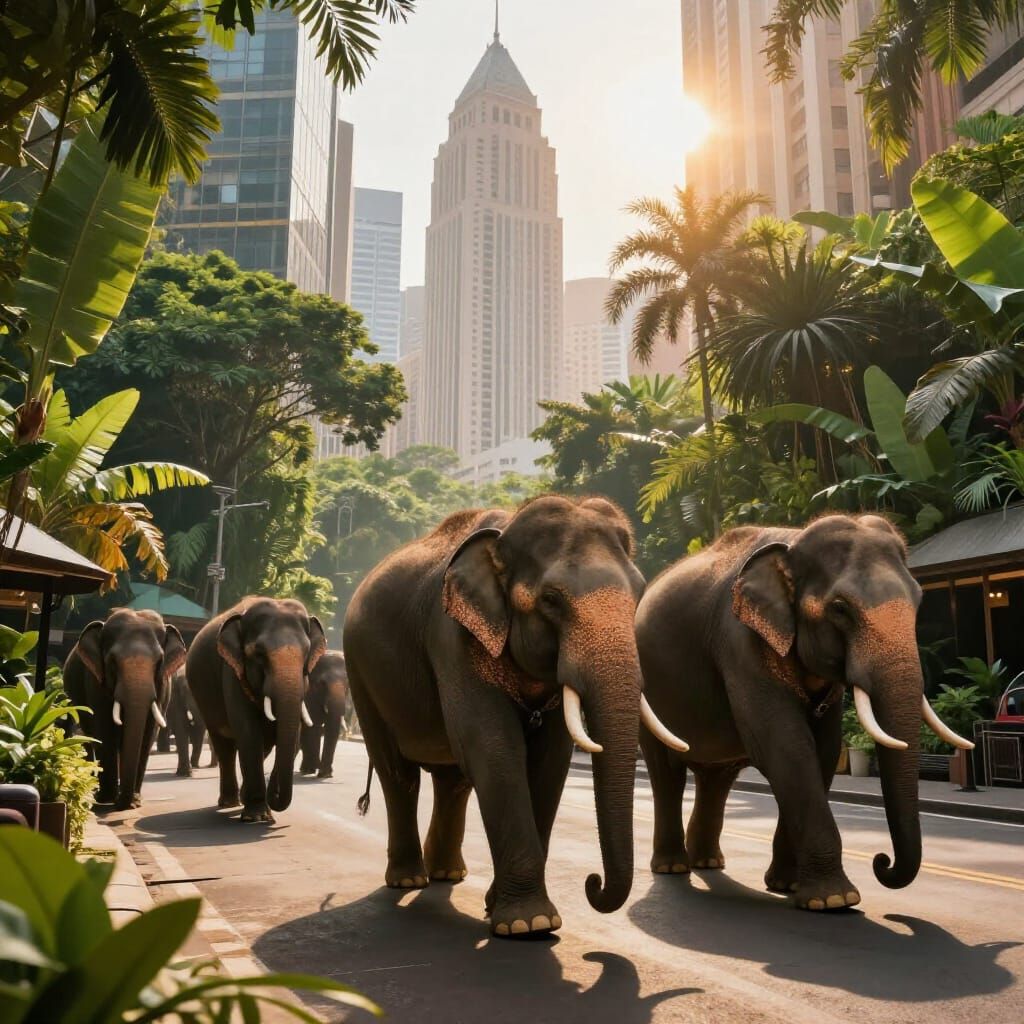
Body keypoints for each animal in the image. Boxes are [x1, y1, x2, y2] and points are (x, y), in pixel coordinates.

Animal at [64, 609, 187, 810]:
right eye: (112, 661)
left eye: (159, 661)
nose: (124, 804)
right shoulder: (94, 681)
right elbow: (103, 728)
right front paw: (107, 799)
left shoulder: (163, 685)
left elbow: (148, 731)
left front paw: (133, 801)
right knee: (90, 734)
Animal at [187, 596, 326, 823]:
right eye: (259, 654)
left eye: (306, 654)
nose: (274, 793)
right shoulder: (232, 671)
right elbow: (249, 732)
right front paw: (258, 817)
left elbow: (287, 735)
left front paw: (261, 813)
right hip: (203, 699)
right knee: (224, 745)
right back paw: (229, 803)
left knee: (262, 746)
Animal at [343, 496, 688, 938]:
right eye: (551, 600)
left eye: (640, 594)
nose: (592, 882)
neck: (504, 535)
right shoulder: (451, 635)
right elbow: (492, 746)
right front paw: (530, 924)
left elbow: (550, 760)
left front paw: (505, 910)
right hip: (360, 673)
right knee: (397, 772)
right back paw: (408, 880)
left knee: (452, 779)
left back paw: (447, 875)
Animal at [634, 514, 973, 911]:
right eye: (840, 608)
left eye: (918, 599)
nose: (881, 861)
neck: (793, 543)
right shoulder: (740, 640)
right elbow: (786, 746)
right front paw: (834, 900)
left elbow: (823, 750)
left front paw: (789, 886)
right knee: (666, 772)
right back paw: (672, 867)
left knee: (716, 777)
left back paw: (708, 862)